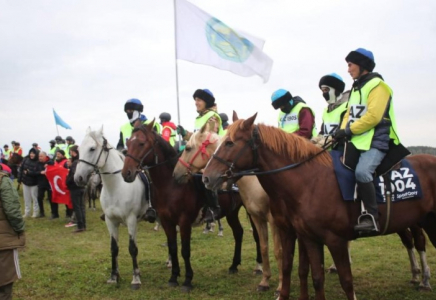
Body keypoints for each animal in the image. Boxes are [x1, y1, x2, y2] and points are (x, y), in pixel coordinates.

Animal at [75, 127, 148, 290]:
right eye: (79, 149)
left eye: (92, 148)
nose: (78, 178)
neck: (116, 187)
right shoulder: (110, 221)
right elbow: (114, 248)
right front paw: (114, 276)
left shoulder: (131, 220)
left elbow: (132, 248)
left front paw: (135, 279)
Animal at [121, 120, 258, 292]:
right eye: (128, 143)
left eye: (141, 143)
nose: (126, 173)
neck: (171, 185)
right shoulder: (166, 221)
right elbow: (173, 247)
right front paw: (173, 277)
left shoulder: (184, 221)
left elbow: (185, 250)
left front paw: (187, 280)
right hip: (232, 212)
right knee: (238, 233)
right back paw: (234, 265)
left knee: (256, 235)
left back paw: (259, 267)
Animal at [203, 113, 436, 300]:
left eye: (229, 143)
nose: (206, 177)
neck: (310, 181)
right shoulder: (306, 237)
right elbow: (310, 275)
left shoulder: (334, 240)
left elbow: (345, 281)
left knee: (418, 242)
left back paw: (423, 279)